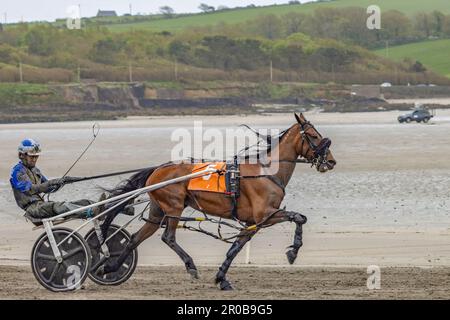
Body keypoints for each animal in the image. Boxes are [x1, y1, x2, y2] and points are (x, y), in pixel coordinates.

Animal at [96, 113, 336, 290]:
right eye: (314, 135)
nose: (332, 161)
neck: (266, 172)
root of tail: (157, 169)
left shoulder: (252, 222)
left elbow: (235, 248)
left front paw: (222, 278)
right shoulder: (265, 215)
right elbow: (299, 217)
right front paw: (293, 251)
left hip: (158, 211)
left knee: (135, 238)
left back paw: (110, 267)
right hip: (174, 207)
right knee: (168, 237)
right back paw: (190, 266)